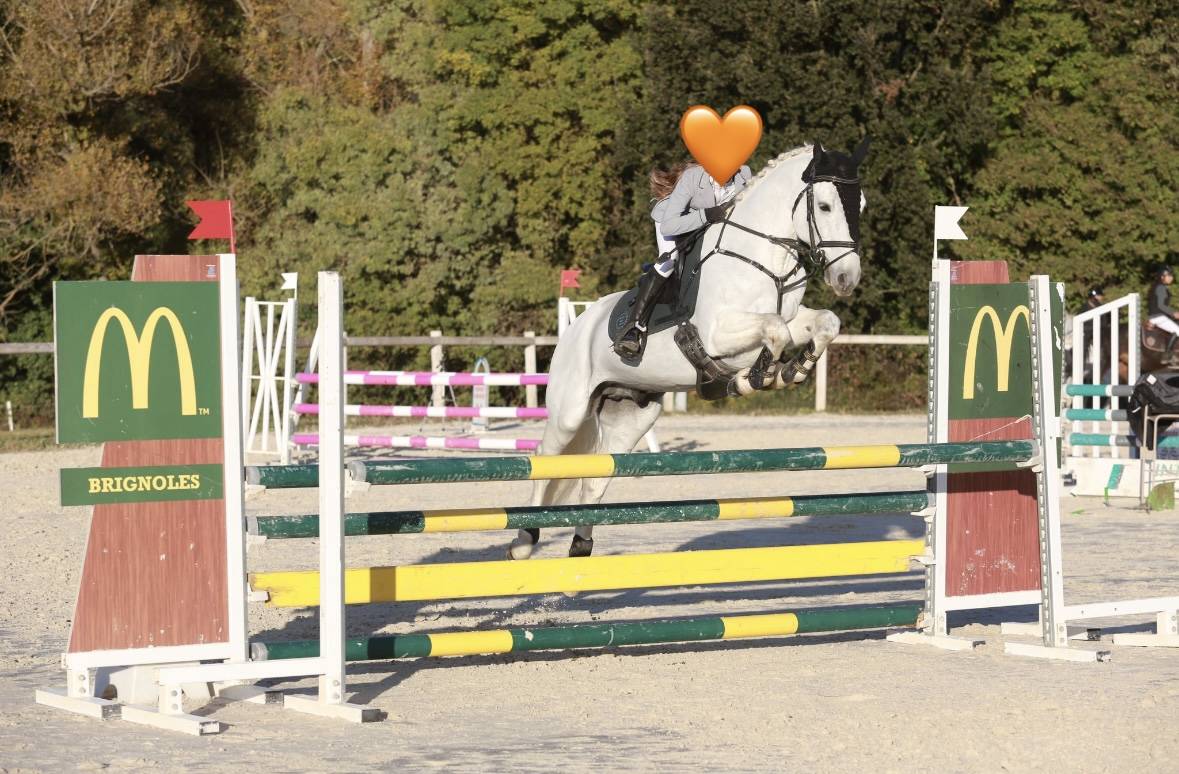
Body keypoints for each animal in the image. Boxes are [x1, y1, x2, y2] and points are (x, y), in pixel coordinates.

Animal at [509, 141, 869, 560]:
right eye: (825, 206)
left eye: (860, 205)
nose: (846, 278)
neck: (763, 260)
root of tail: (576, 327)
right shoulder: (718, 334)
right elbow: (774, 331)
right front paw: (754, 378)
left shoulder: (792, 319)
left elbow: (825, 323)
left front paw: (793, 370)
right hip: (570, 411)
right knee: (545, 458)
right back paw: (524, 541)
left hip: (630, 416)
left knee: (595, 477)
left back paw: (581, 547)